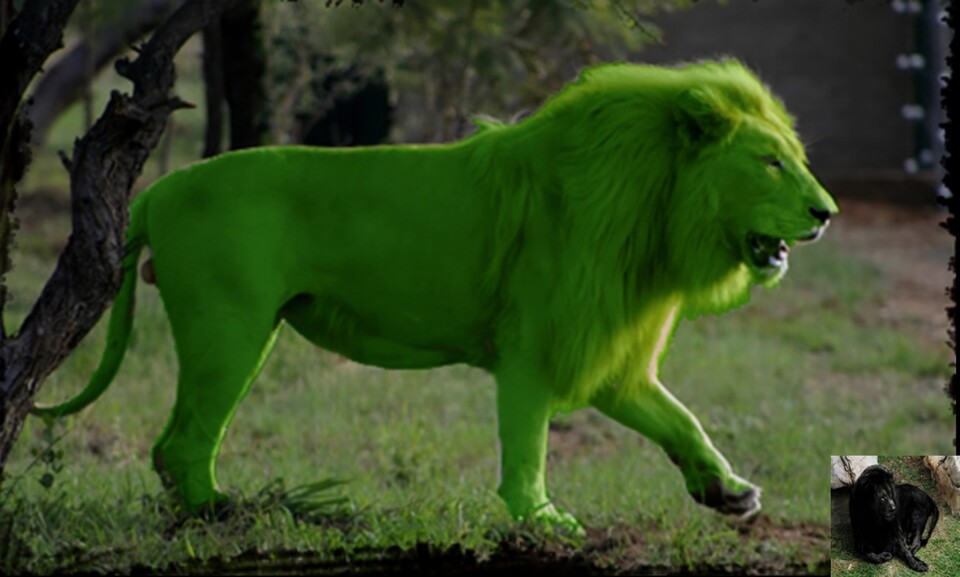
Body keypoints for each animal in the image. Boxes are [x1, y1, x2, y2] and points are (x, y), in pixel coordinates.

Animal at [34, 59, 837, 531]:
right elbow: (528, 444)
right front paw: (541, 521)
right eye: (769, 162)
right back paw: (223, 515)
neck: (659, 215)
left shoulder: (606, 353)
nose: (826, 212)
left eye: (794, 158)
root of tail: (159, 189)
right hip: (232, 328)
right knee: (181, 440)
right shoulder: (536, 347)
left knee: (175, 442)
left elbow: (682, 420)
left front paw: (728, 490)